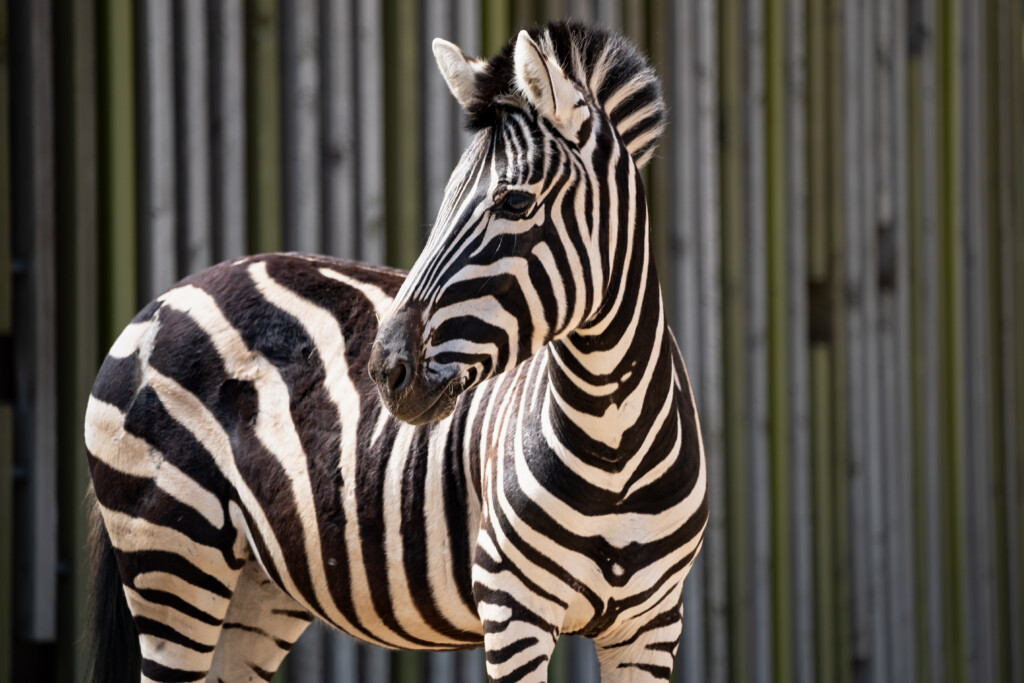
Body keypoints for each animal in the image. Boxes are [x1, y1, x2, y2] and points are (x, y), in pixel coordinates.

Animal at [85, 21, 707, 683]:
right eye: (446, 200)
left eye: (514, 203)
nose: (385, 372)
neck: (614, 442)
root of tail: (168, 295)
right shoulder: (512, 610)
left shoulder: (651, 627)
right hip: (170, 555)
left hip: (254, 587)